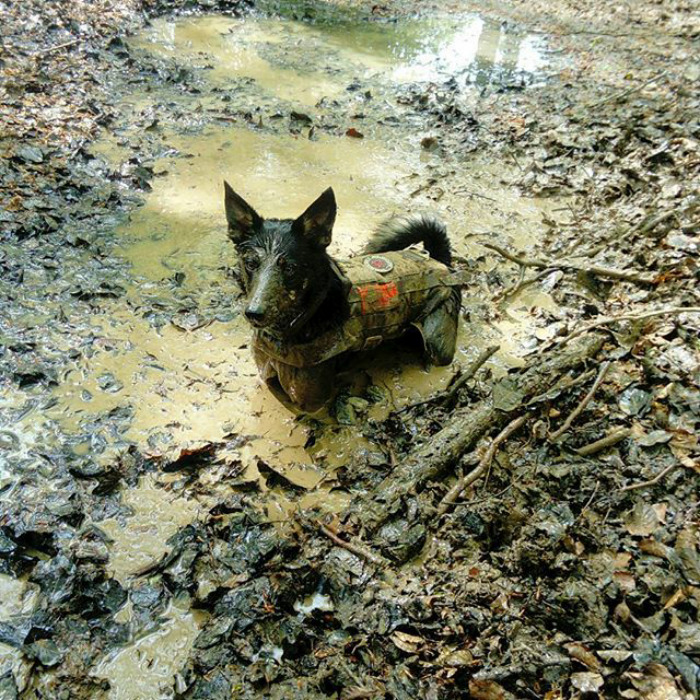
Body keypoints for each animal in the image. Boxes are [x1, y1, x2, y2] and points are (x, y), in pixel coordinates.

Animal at [226, 182, 464, 410]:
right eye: (250, 263)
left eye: (290, 268)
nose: (254, 313)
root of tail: (440, 260)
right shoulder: (266, 374)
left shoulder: (310, 403)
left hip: (437, 340)